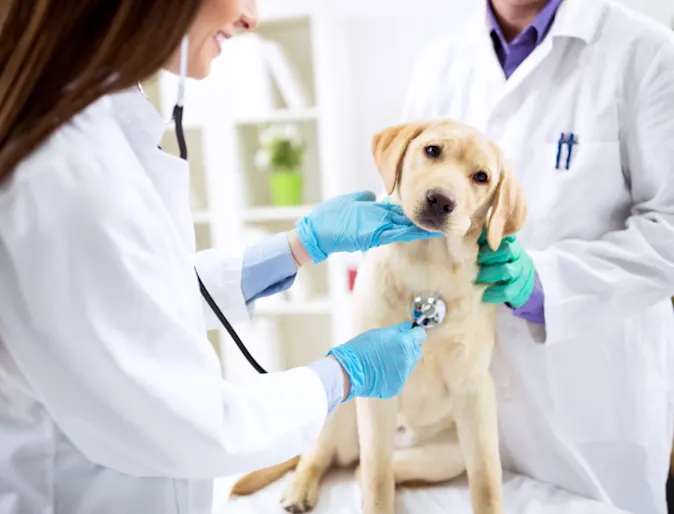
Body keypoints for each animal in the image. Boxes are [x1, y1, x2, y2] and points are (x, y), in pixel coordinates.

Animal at [230, 118, 524, 512]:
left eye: (481, 177)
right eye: (432, 150)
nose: (441, 200)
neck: (429, 265)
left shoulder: (474, 391)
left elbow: (486, 478)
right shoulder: (373, 394)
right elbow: (377, 473)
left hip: (446, 455)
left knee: (361, 469)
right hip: (342, 404)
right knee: (324, 455)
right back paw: (300, 487)